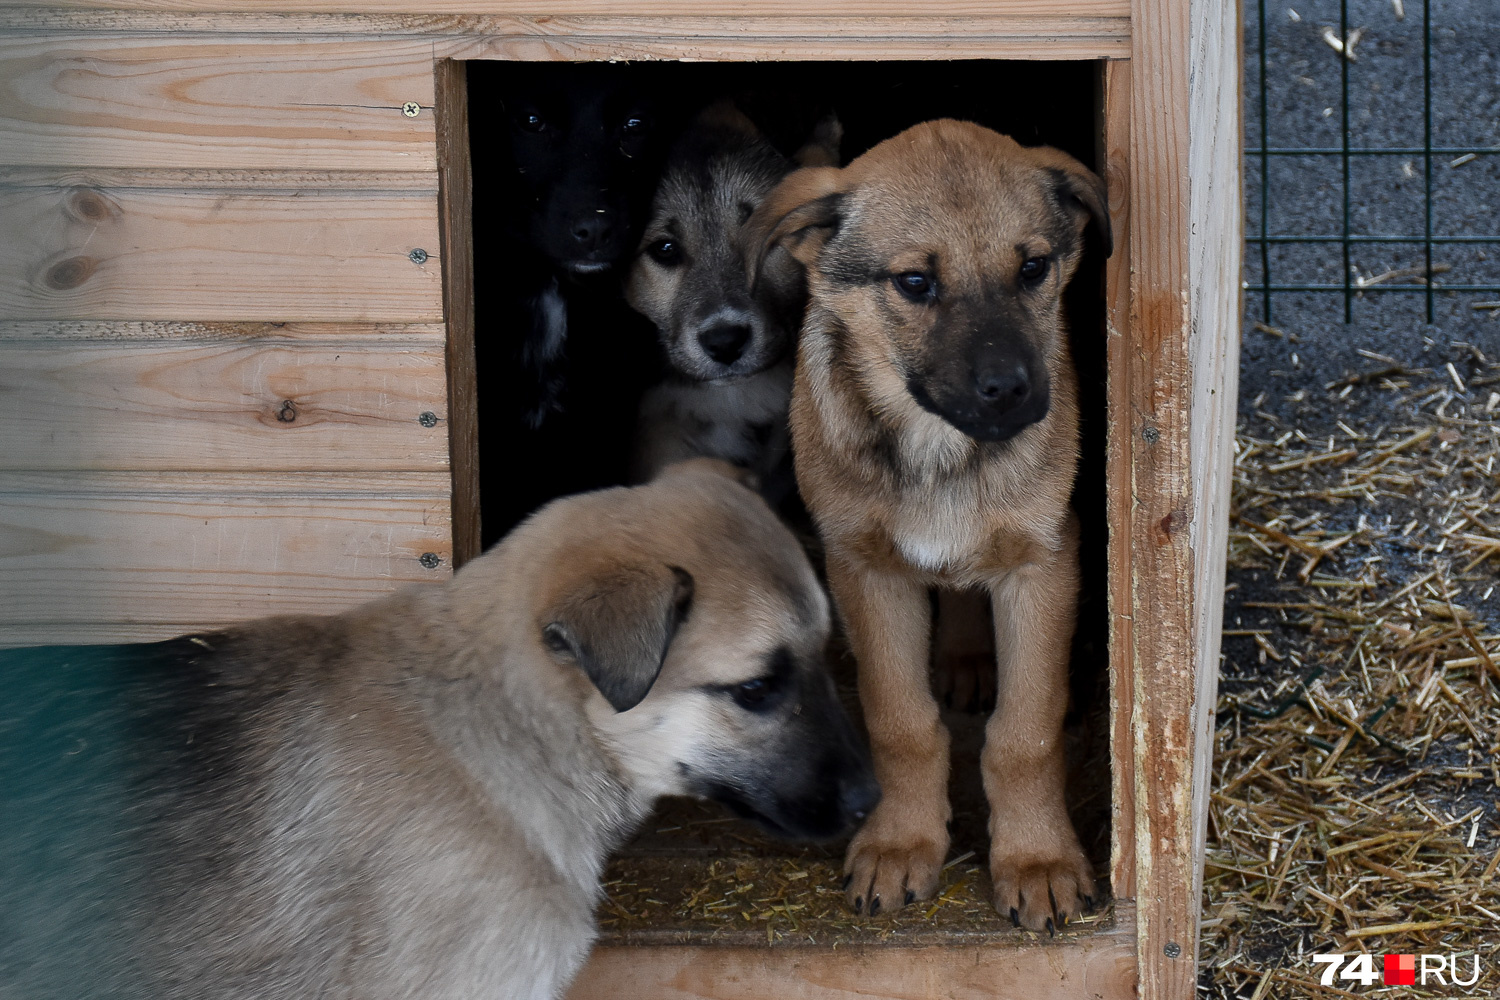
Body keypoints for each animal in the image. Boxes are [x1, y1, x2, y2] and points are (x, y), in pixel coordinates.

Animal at [750, 121, 1116, 935]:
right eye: (915, 283)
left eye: (1033, 268)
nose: (1011, 391)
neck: (936, 448)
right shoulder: (863, 568)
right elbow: (901, 721)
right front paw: (901, 842)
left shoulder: (1044, 564)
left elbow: (1025, 732)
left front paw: (1037, 860)